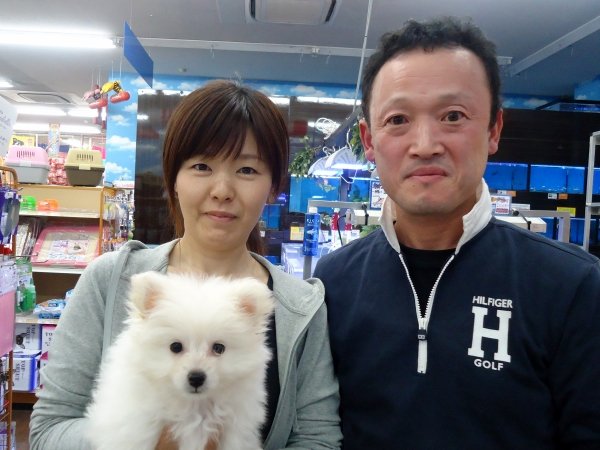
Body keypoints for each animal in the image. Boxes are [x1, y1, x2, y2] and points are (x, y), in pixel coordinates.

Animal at [86, 271, 275, 450]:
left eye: (219, 348)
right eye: (175, 346)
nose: (196, 378)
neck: (193, 406)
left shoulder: (236, 433)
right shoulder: (135, 430)